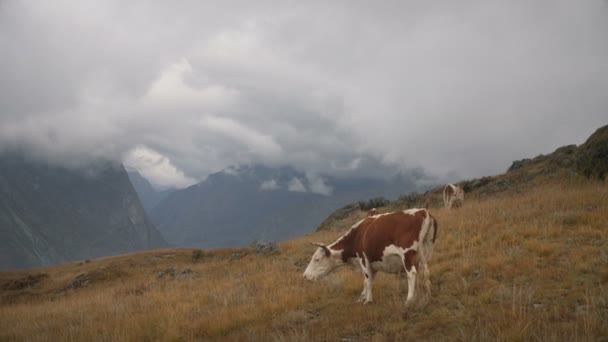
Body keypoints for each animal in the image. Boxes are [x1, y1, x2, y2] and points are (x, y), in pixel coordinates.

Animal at [302, 208, 436, 304]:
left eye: (317, 259)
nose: (305, 276)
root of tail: (423, 211)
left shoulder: (363, 259)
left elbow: (368, 279)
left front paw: (368, 300)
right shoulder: (372, 263)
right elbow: (368, 281)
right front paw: (362, 297)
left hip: (407, 254)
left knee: (412, 274)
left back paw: (409, 300)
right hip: (424, 252)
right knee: (426, 270)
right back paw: (428, 293)